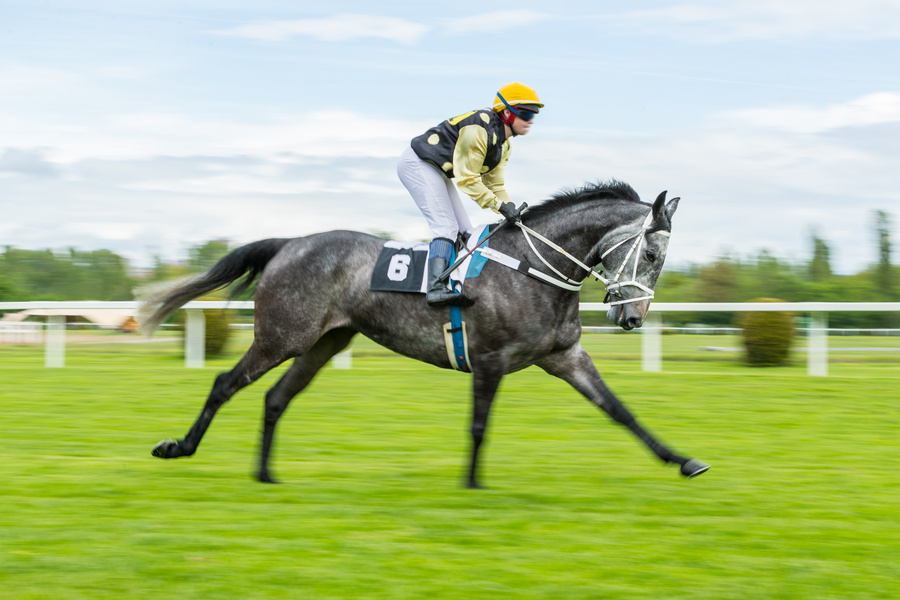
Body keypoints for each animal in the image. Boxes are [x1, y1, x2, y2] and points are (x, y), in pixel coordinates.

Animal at [139, 179, 712, 488]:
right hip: (282, 336)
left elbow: (620, 411)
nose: (632, 318)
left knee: (276, 398)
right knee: (225, 384)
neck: (533, 267)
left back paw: (265, 474)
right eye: (653, 253)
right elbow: (479, 426)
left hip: (325, 342)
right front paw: (474, 482)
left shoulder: (565, 356)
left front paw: (683, 460)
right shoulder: (490, 359)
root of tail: (289, 243)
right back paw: (178, 448)